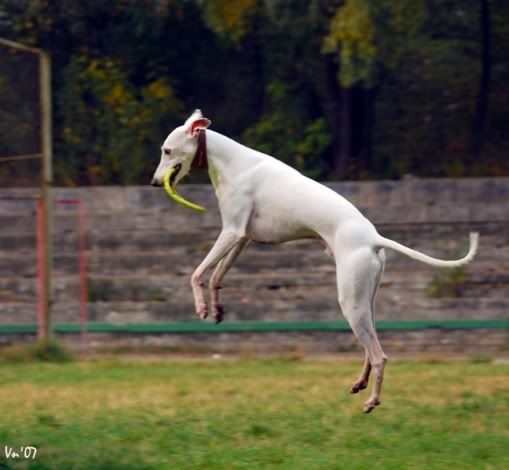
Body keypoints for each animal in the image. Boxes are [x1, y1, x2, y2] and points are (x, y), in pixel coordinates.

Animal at [150, 110, 476, 412]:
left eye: (167, 151)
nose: (154, 183)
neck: (233, 161)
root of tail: (374, 238)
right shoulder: (242, 237)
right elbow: (217, 275)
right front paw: (216, 309)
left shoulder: (231, 231)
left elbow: (196, 273)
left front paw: (201, 307)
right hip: (365, 301)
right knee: (370, 347)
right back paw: (360, 383)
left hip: (349, 301)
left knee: (379, 355)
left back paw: (372, 400)